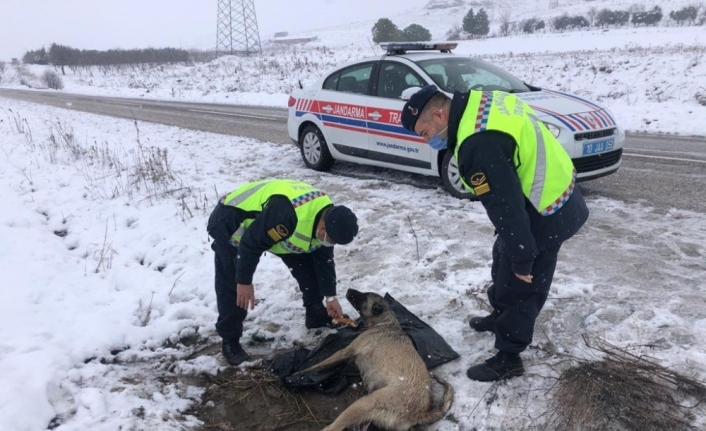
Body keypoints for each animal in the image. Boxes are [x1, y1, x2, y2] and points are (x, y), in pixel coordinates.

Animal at [290, 288, 452, 431]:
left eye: (364, 297)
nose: (349, 289)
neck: (384, 322)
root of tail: (420, 414)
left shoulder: (347, 351)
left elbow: (320, 364)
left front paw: (298, 373)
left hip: (364, 403)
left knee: (334, 427)